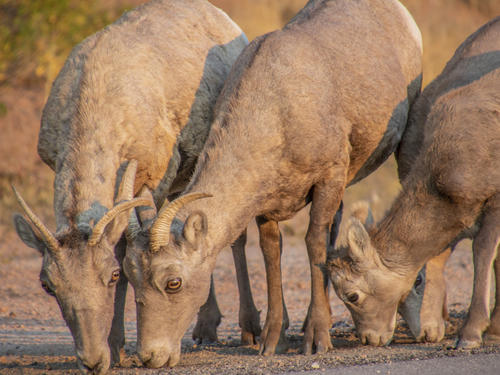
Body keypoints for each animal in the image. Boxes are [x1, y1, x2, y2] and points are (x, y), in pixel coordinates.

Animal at [11, 1, 252, 374]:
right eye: (47, 285)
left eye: (112, 275)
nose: (91, 361)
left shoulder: (153, 179)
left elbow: (126, 246)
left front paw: (115, 347)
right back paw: (205, 329)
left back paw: (247, 330)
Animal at [121, 0, 422, 368]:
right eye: (130, 274)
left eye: (173, 282)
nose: (150, 356)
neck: (277, 110)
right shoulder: (266, 205)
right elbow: (271, 254)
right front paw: (272, 341)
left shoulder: (328, 179)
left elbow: (314, 244)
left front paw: (316, 339)